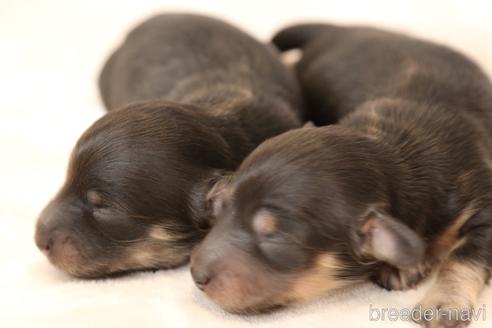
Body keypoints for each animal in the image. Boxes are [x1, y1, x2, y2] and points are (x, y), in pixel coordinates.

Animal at [189, 23, 492, 328]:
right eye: (223, 209)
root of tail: (339, 29)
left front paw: (443, 302)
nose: (195, 275)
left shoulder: (480, 203)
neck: (388, 146)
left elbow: (464, 257)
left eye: (276, 238)